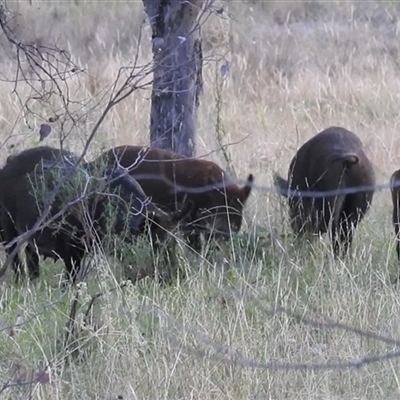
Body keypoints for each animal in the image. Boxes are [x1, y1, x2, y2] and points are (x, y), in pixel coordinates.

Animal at [0, 147, 191, 284]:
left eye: (173, 242)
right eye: (156, 243)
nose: (176, 277)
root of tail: (7, 164)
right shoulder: (72, 245)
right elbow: (71, 274)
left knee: (30, 254)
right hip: (8, 225)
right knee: (14, 255)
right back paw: (20, 282)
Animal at [274, 126, 374, 255]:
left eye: (292, 203)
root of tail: (347, 159)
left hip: (331, 197)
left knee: (333, 230)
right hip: (359, 203)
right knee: (346, 233)